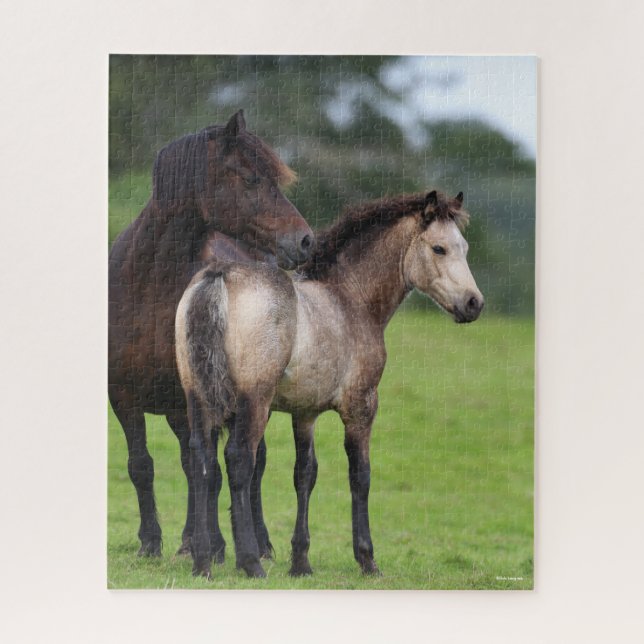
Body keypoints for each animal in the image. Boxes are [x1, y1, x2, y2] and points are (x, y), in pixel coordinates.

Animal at [108, 110, 314, 560]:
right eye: (252, 178)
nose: (306, 240)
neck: (148, 286)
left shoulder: (201, 398)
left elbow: (213, 471)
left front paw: (216, 545)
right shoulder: (123, 396)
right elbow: (142, 465)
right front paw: (151, 542)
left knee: (251, 463)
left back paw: (257, 542)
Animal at [175, 190, 484, 579]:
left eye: (465, 247)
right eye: (439, 248)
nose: (474, 304)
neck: (350, 299)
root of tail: (219, 275)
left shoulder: (303, 412)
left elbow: (304, 474)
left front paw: (301, 562)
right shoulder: (361, 405)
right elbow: (360, 474)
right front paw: (367, 559)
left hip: (198, 397)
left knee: (201, 458)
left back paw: (202, 561)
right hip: (254, 402)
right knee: (239, 459)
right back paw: (250, 562)